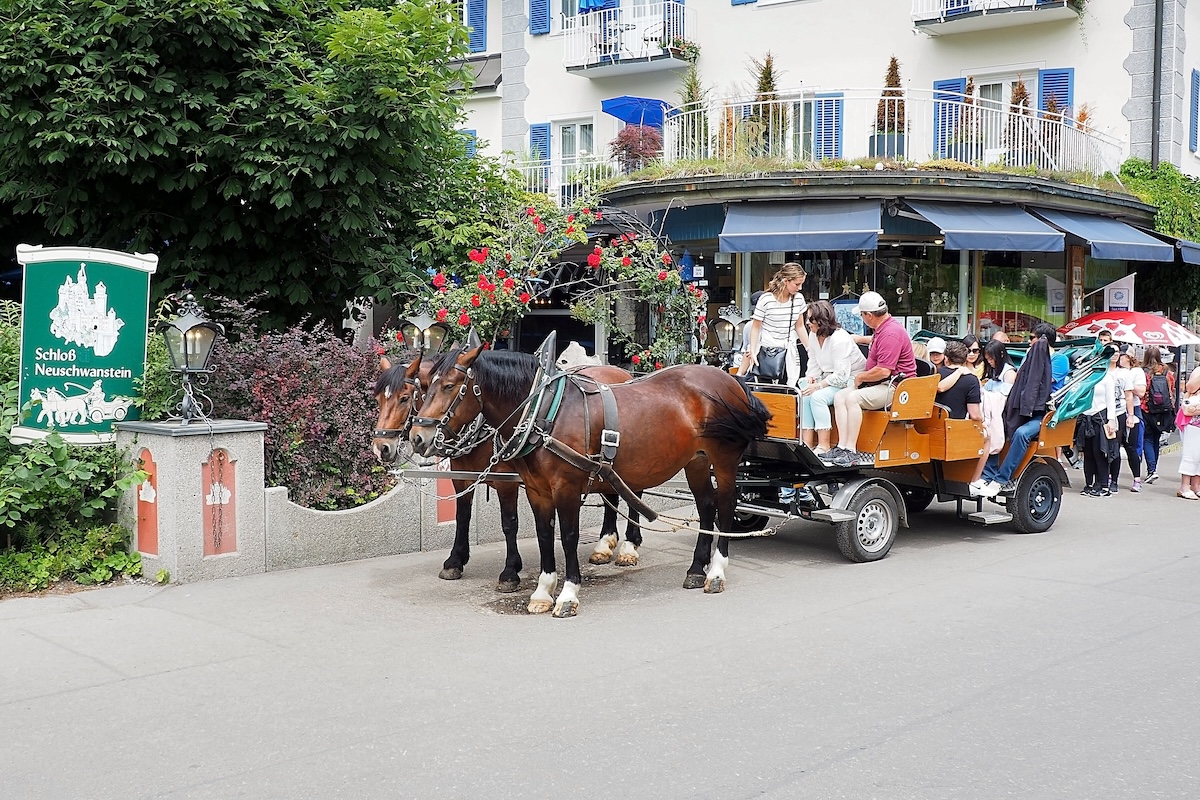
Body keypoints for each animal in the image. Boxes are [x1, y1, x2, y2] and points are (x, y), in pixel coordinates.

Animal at [369, 352, 638, 592]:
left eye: (404, 398)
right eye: (378, 400)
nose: (381, 447)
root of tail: (621, 371)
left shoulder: (505, 481)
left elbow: (509, 523)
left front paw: (510, 571)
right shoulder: (461, 476)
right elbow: (462, 516)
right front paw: (455, 560)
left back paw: (629, 546)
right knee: (613, 495)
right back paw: (604, 544)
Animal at [412, 347, 768, 618]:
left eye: (450, 386)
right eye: (424, 386)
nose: (417, 436)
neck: (545, 412)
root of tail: (732, 379)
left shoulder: (566, 487)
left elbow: (568, 536)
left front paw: (568, 593)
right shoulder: (538, 490)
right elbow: (544, 535)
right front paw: (542, 591)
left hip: (724, 460)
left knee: (725, 506)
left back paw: (716, 571)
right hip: (696, 461)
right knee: (707, 507)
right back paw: (696, 568)